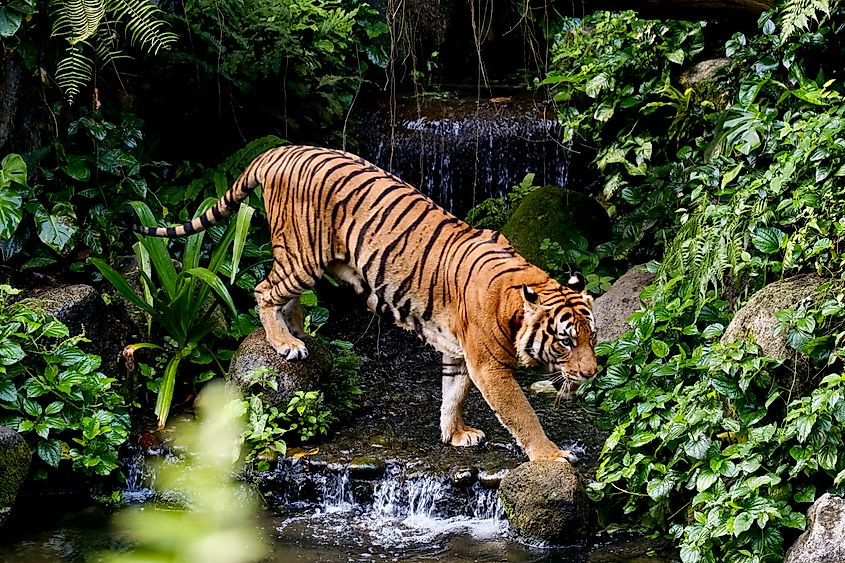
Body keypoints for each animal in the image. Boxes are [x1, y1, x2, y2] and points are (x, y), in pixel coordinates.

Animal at [133, 145, 598, 462]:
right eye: (566, 340)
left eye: (592, 337)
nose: (593, 372)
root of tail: (279, 149)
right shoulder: (489, 365)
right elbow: (522, 413)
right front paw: (552, 455)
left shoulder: (459, 352)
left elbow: (453, 394)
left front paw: (455, 434)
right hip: (303, 254)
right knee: (264, 290)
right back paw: (284, 342)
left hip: (308, 260)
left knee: (286, 295)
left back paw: (298, 333)